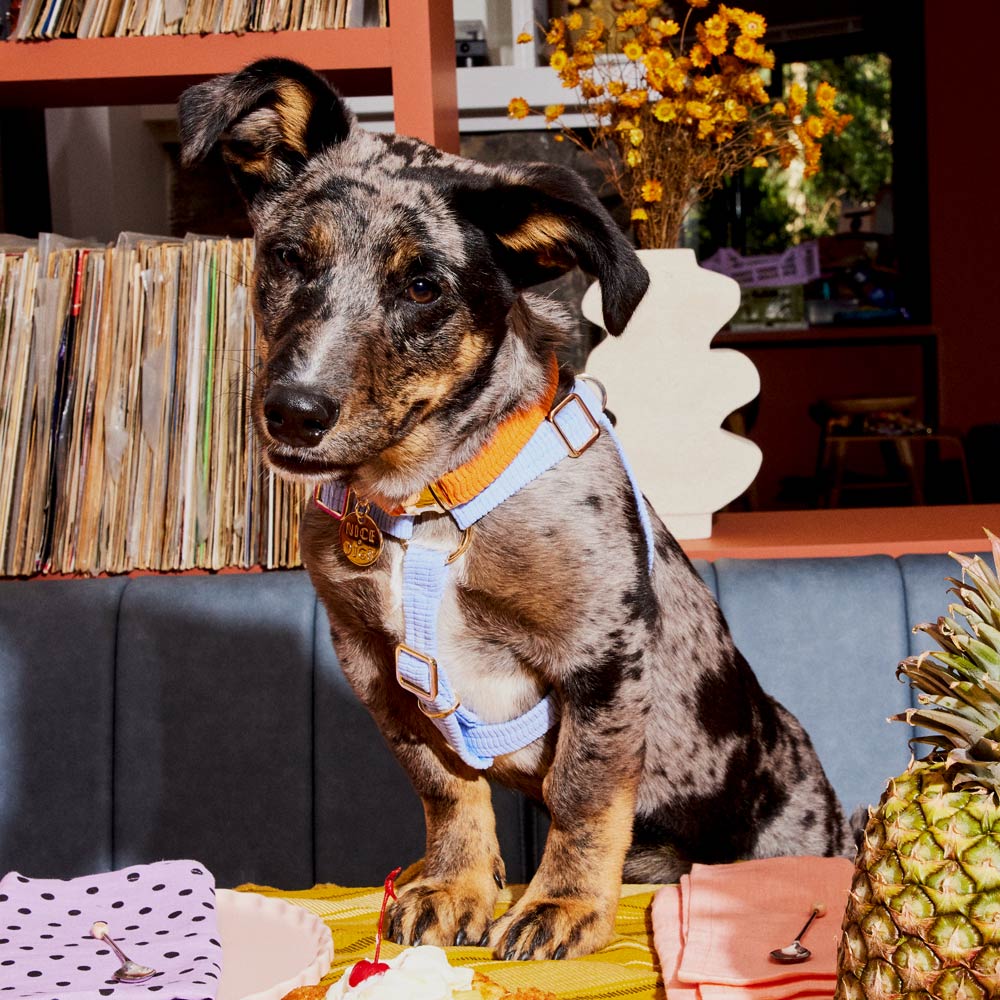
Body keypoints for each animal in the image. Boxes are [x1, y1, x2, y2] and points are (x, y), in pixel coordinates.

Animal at [180, 56, 852, 960]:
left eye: (423, 286)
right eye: (289, 256)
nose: (292, 412)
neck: (429, 505)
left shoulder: (601, 658)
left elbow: (583, 795)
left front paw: (562, 905)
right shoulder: (377, 666)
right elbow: (444, 785)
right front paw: (457, 887)